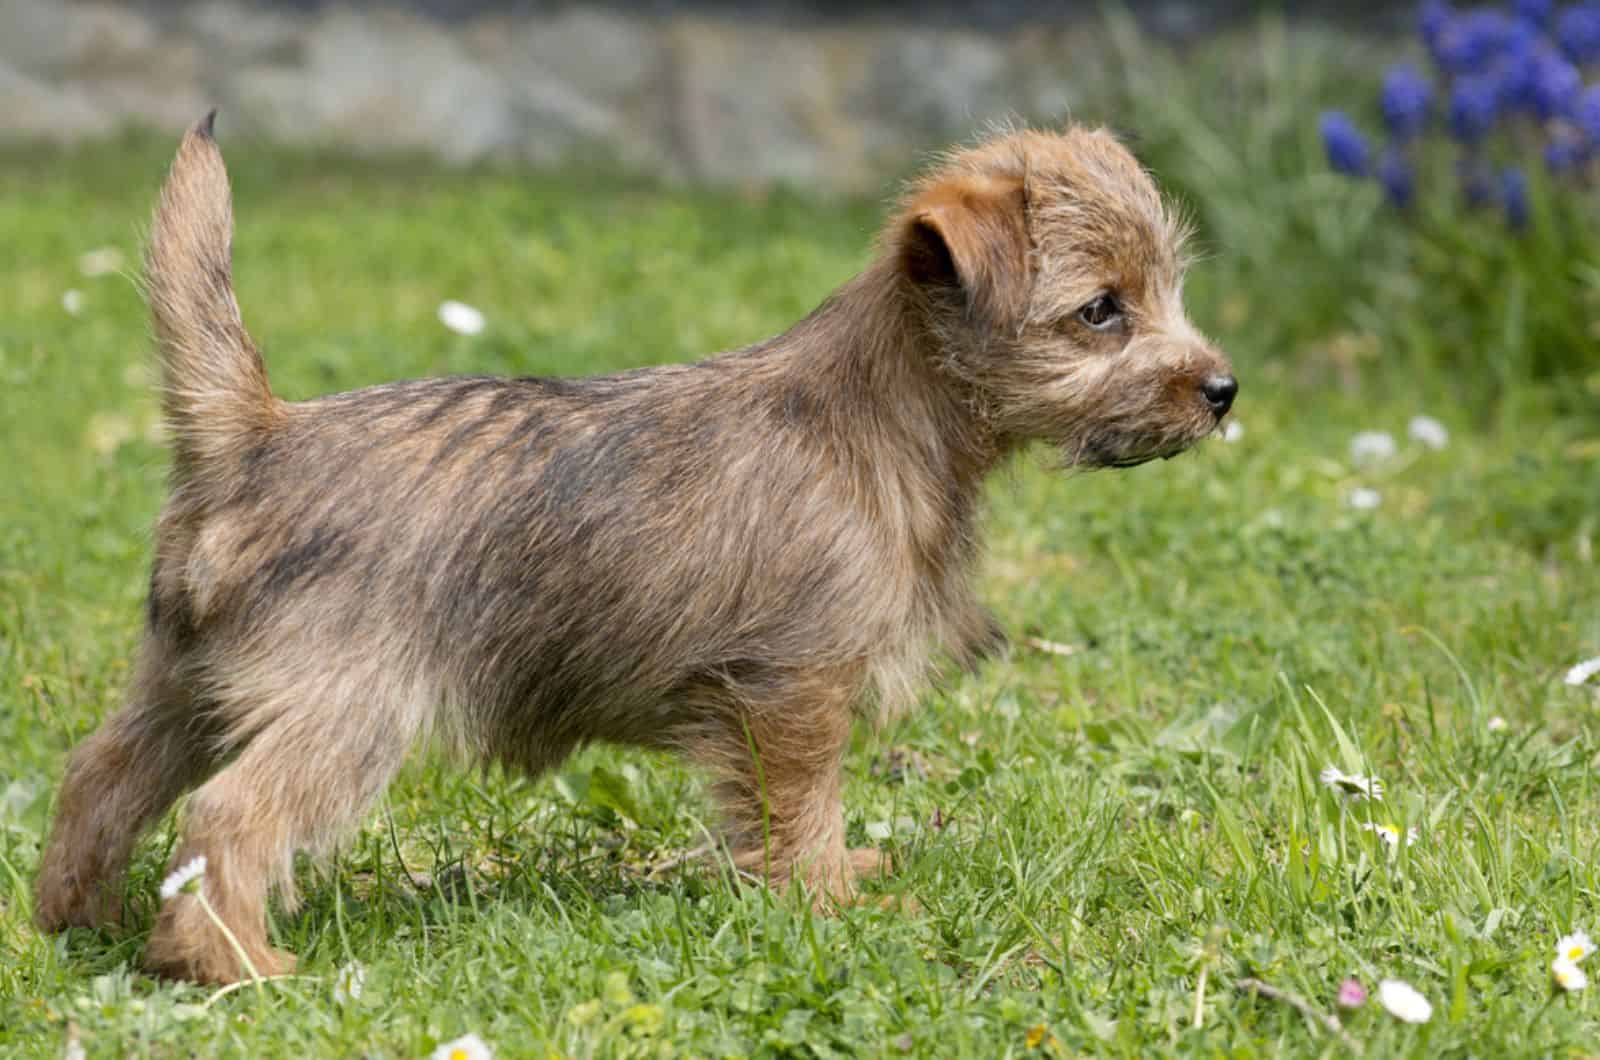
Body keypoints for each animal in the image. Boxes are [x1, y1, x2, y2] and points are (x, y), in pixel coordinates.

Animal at [34, 112, 1235, 986]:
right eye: (1100, 312)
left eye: (1167, 290)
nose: (1223, 388)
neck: (887, 415)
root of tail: (256, 435)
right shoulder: (793, 690)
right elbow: (802, 807)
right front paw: (831, 903)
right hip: (351, 707)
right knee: (229, 815)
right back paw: (235, 965)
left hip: (188, 684)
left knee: (102, 772)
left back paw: (77, 915)